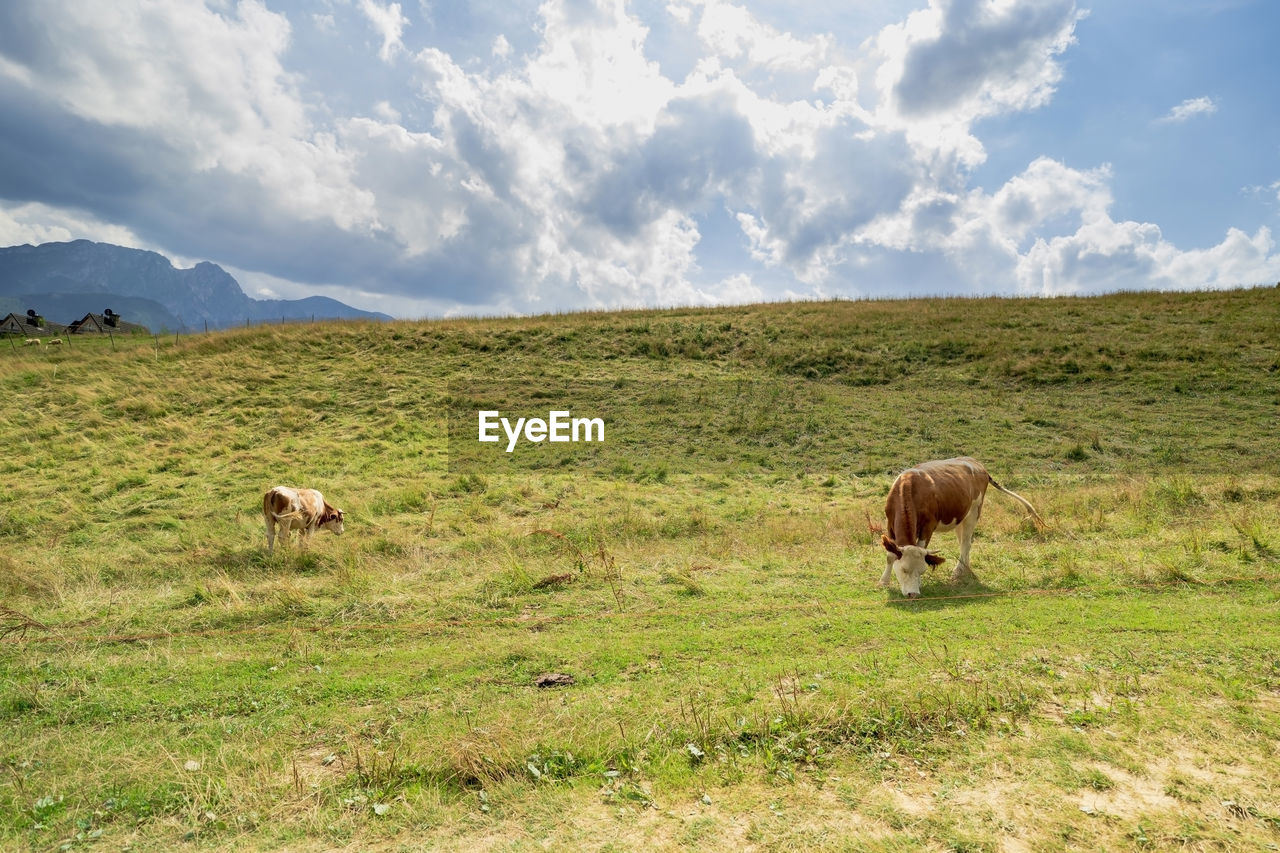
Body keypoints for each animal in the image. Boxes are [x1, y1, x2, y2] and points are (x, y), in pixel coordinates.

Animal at [885, 455, 1044, 594]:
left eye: (922, 571)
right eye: (904, 569)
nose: (913, 594)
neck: (909, 488)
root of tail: (977, 464)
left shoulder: (928, 527)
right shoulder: (890, 524)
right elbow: (890, 555)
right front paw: (884, 581)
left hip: (974, 511)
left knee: (966, 543)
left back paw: (958, 571)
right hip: (960, 517)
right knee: (964, 542)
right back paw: (966, 569)